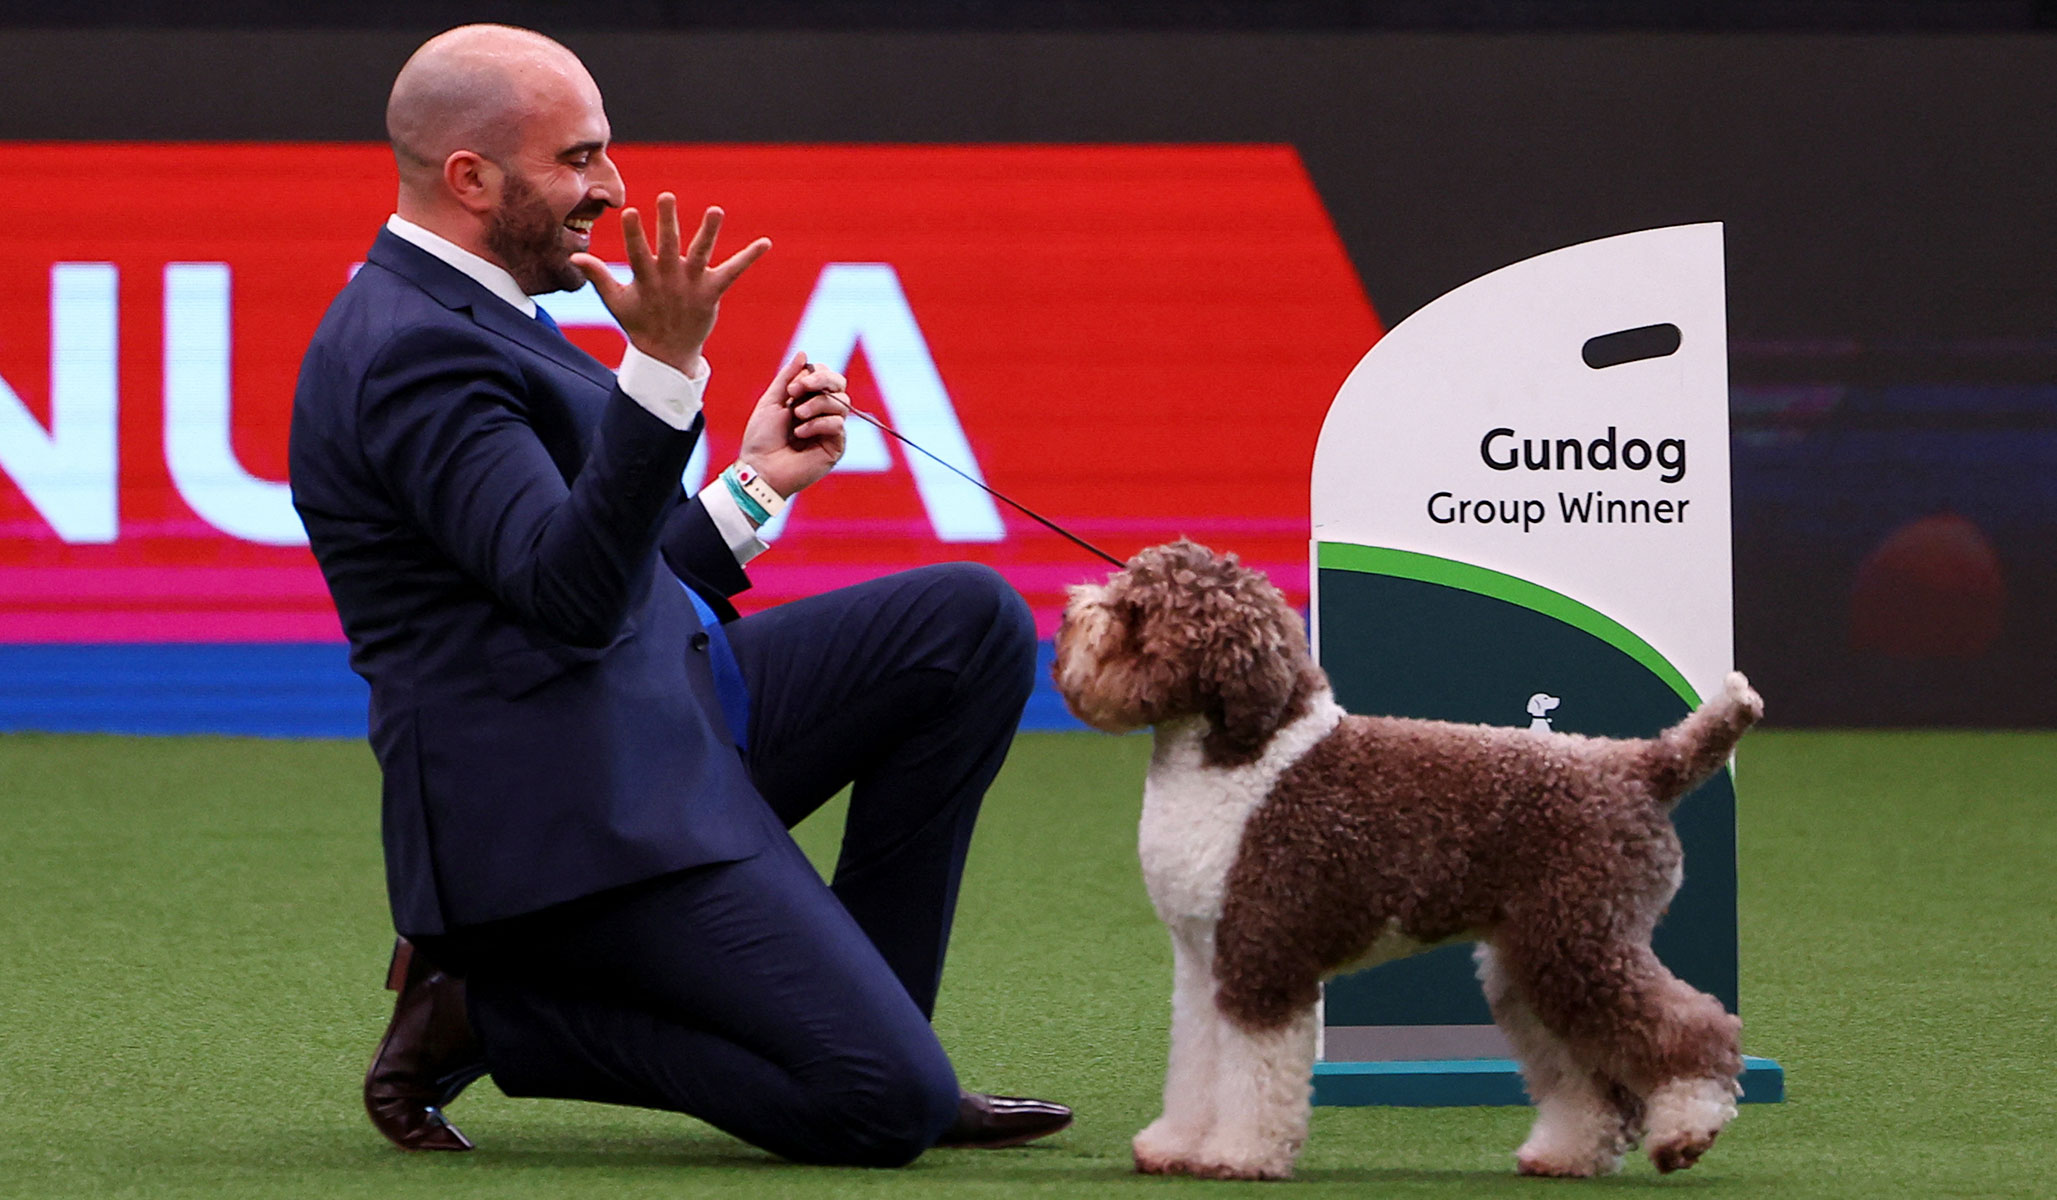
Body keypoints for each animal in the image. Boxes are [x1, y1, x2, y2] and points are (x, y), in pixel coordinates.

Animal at [1053, 543, 1760, 1185]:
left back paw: (1687, 1129)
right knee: (1587, 1077)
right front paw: (1176, 1145)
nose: (1063, 623)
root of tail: (1641, 766)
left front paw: (1241, 1155)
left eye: (1137, 610)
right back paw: (1568, 1154)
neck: (1236, 756)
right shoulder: (1205, 964)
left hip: (1578, 943)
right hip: (1532, 959)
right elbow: (1197, 1065)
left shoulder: (1262, 955)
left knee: (1698, 1030)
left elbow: (1254, 1075)